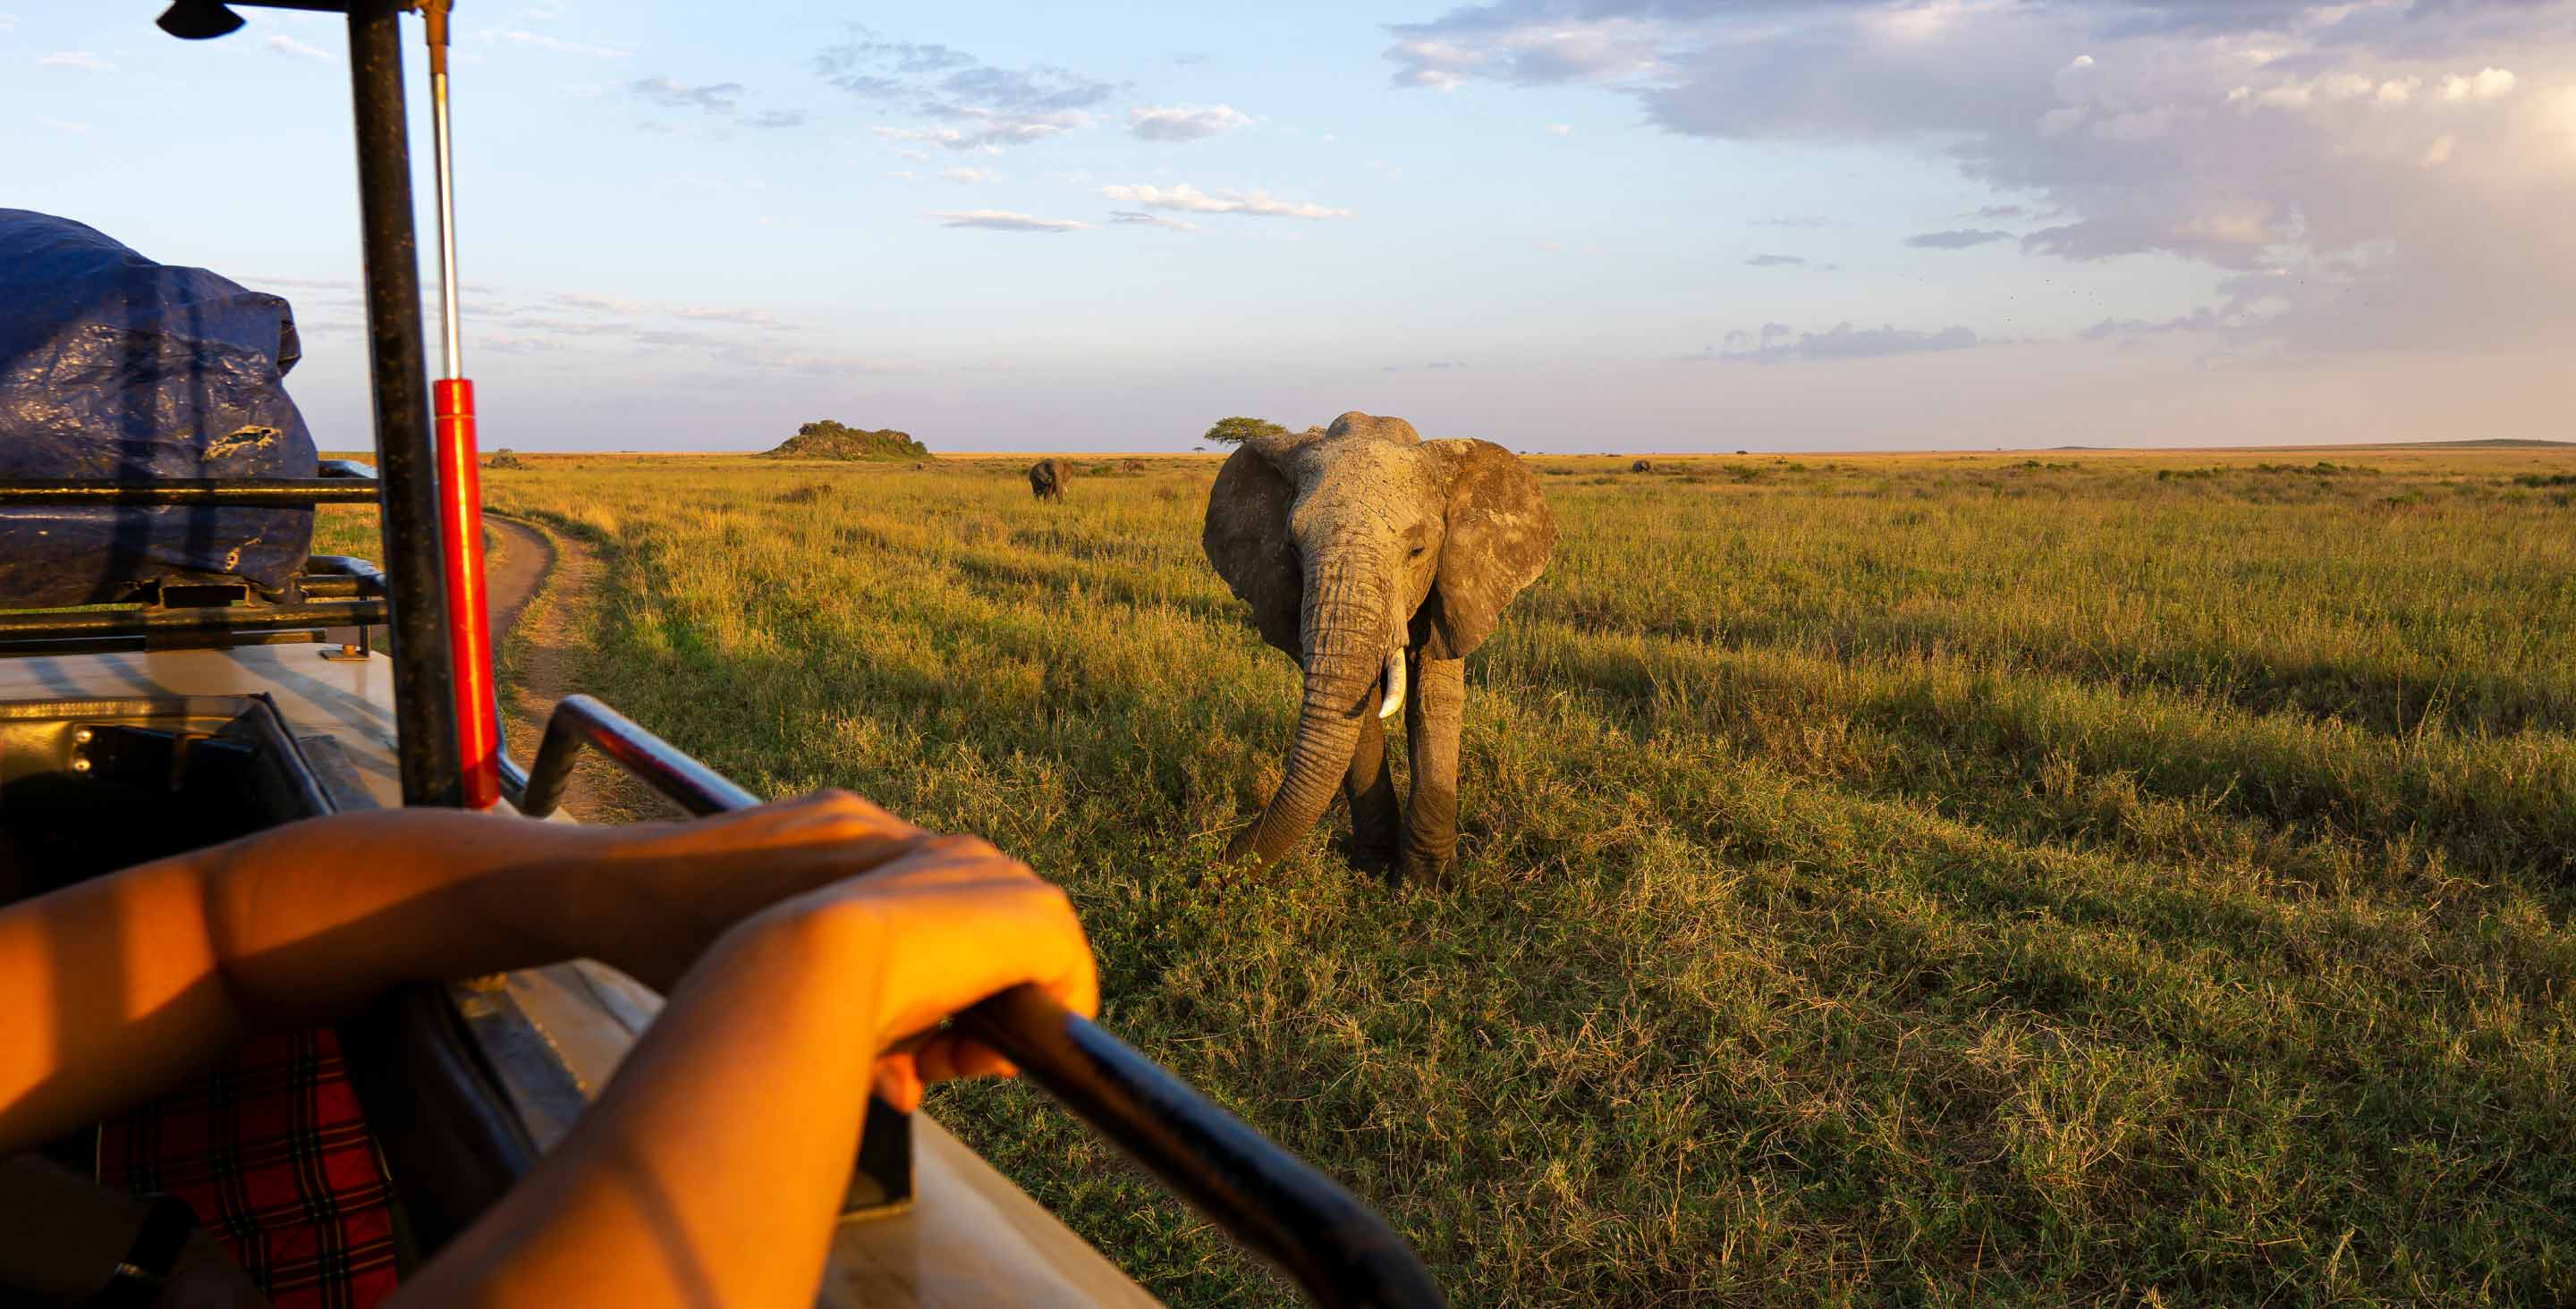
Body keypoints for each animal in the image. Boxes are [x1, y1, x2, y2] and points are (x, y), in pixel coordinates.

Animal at [1203, 411, 1556, 884]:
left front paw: (1430, 882)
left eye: (1418, 550)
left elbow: (1433, 698)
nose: (1209, 870)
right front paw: (1374, 868)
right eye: (1291, 548)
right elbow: (1362, 710)